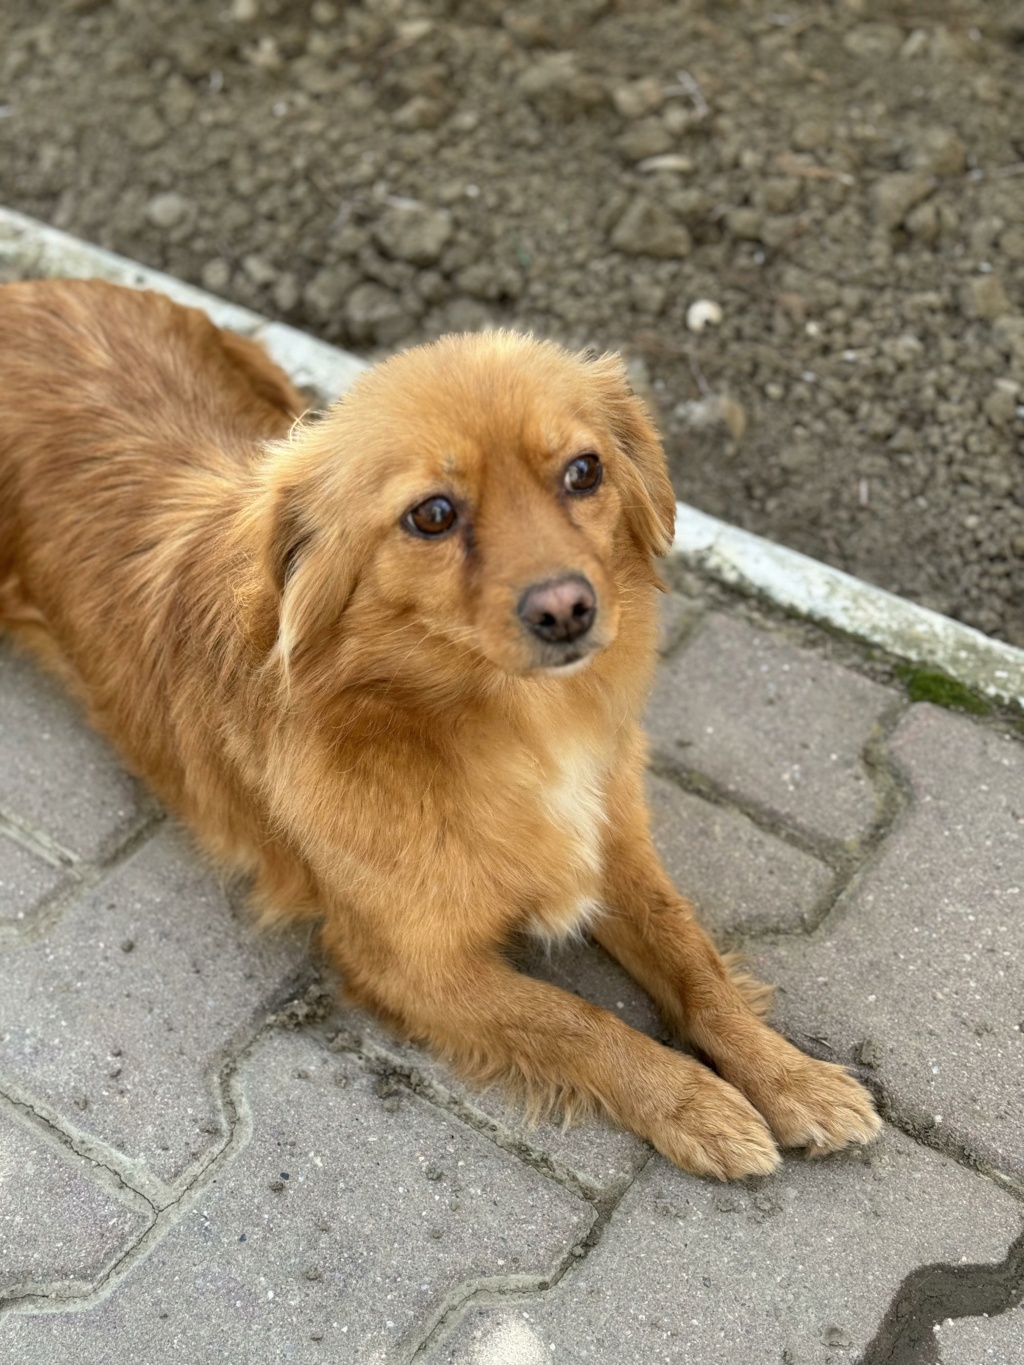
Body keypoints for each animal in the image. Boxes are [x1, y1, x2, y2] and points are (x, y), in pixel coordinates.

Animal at [0, 274, 884, 1173]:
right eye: (431, 514)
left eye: (584, 471)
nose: (566, 608)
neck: (508, 726)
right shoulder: (411, 964)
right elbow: (577, 1021)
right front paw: (692, 1100)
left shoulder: (614, 845)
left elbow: (694, 958)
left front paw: (788, 1074)